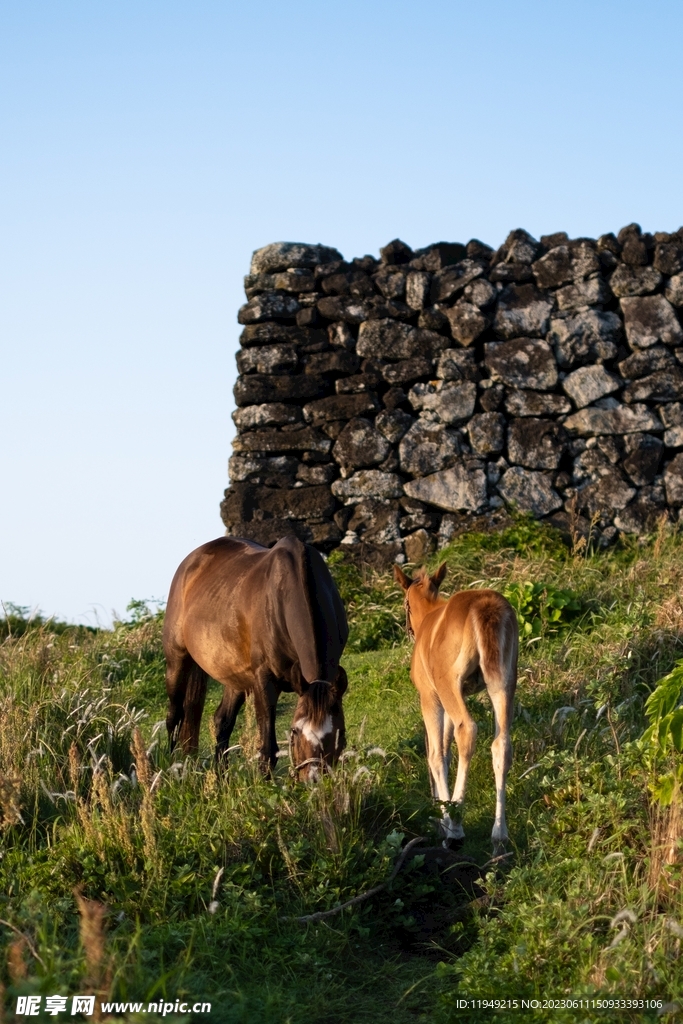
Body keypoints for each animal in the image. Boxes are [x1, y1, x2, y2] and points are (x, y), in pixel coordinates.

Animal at [163, 535, 348, 779]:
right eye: (295, 731)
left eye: (339, 732)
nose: (313, 778)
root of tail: (190, 562)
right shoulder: (265, 680)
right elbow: (268, 748)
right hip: (177, 661)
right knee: (174, 717)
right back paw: (171, 769)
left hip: (235, 677)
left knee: (222, 721)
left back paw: (221, 778)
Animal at [394, 563, 518, 851]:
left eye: (405, 604)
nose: (407, 630)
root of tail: (484, 606)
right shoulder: (454, 696)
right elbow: (447, 750)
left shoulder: (431, 697)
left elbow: (436, 754)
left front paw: (444, 819)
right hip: (503, 682)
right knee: (501, 745)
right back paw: (499, 835)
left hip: (448, 685)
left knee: (468, 729)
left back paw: (457, 827)